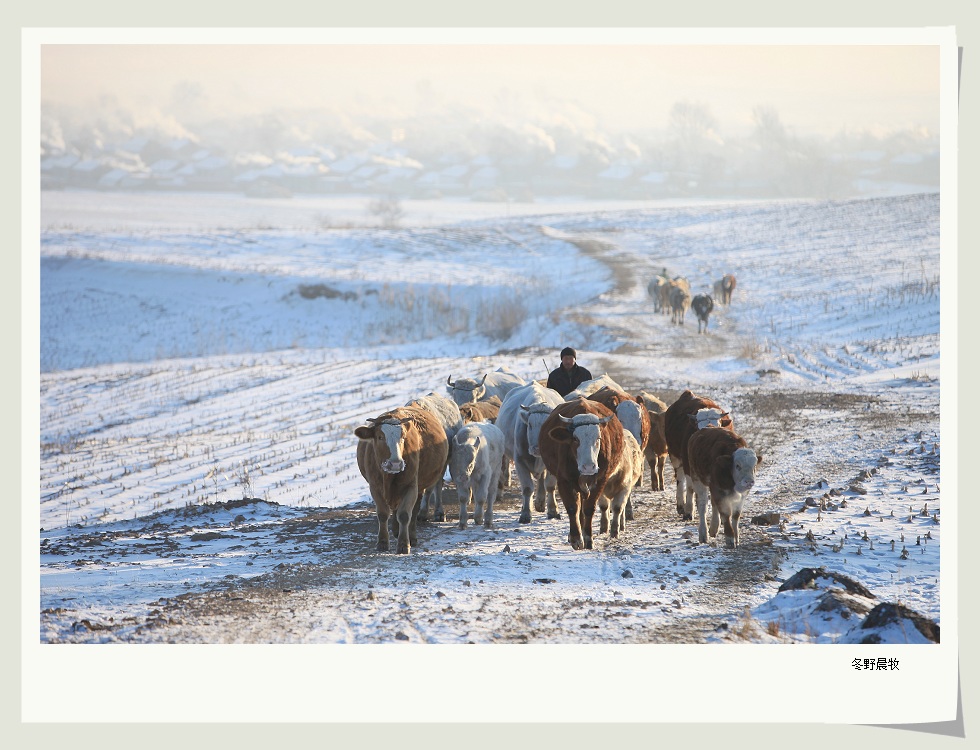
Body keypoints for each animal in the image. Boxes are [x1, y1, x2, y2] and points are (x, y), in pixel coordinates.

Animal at [354, 408, 450, 556]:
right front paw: (382, 542)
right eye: (380, 437)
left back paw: (412, 536)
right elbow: (383, 514)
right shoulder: (375, 487)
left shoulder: (411, 486)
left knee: (416, 508)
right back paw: (395, 529)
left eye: (403, 437)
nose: (395, 464)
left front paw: (404, 544)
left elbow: (405, 515)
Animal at [498, 382, 568, 524]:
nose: (537, 449)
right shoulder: (520, 462)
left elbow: (550, 486)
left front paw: (553, 511)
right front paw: (525, 513)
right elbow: (527, 488)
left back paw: (540, 503)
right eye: (529, 425)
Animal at [540, 396, 624, 548]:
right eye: (575, 439)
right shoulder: (564, 480)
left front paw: (588, 538)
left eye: (598, 438)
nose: (589, 467)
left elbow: (589, 508)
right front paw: (575, 538)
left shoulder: (600, 480)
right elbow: (572, 507)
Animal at [664, 394, 732, 524]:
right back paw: (682, 506)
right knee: (681, 480)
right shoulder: (687, 463)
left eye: (717, 426)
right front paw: (689, 512)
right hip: (675, 457)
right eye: (699, 427)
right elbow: (690, 487)